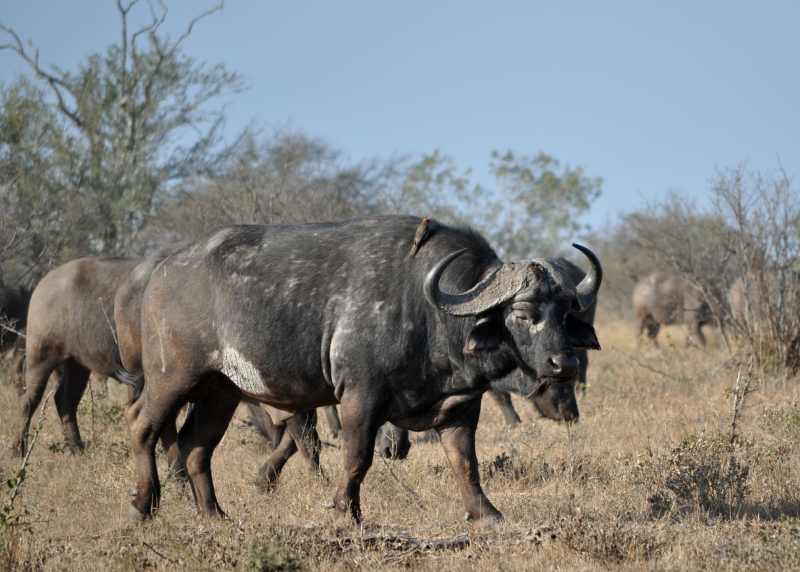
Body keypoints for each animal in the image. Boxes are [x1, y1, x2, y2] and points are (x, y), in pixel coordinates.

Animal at [126, 214, 600, 524]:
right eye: (522, 313)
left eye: (564, 312)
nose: (564, 364)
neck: (428, 311)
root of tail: (161, 273)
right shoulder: (360, 397)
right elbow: (357, 459)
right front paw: (346, 513)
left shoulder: (460, 406)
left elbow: (466, 463)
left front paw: (486, 514)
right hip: (172, 378)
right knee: (142, 427)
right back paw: (143, 506)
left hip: (220, 391)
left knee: (195, 447)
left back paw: (214, 515)